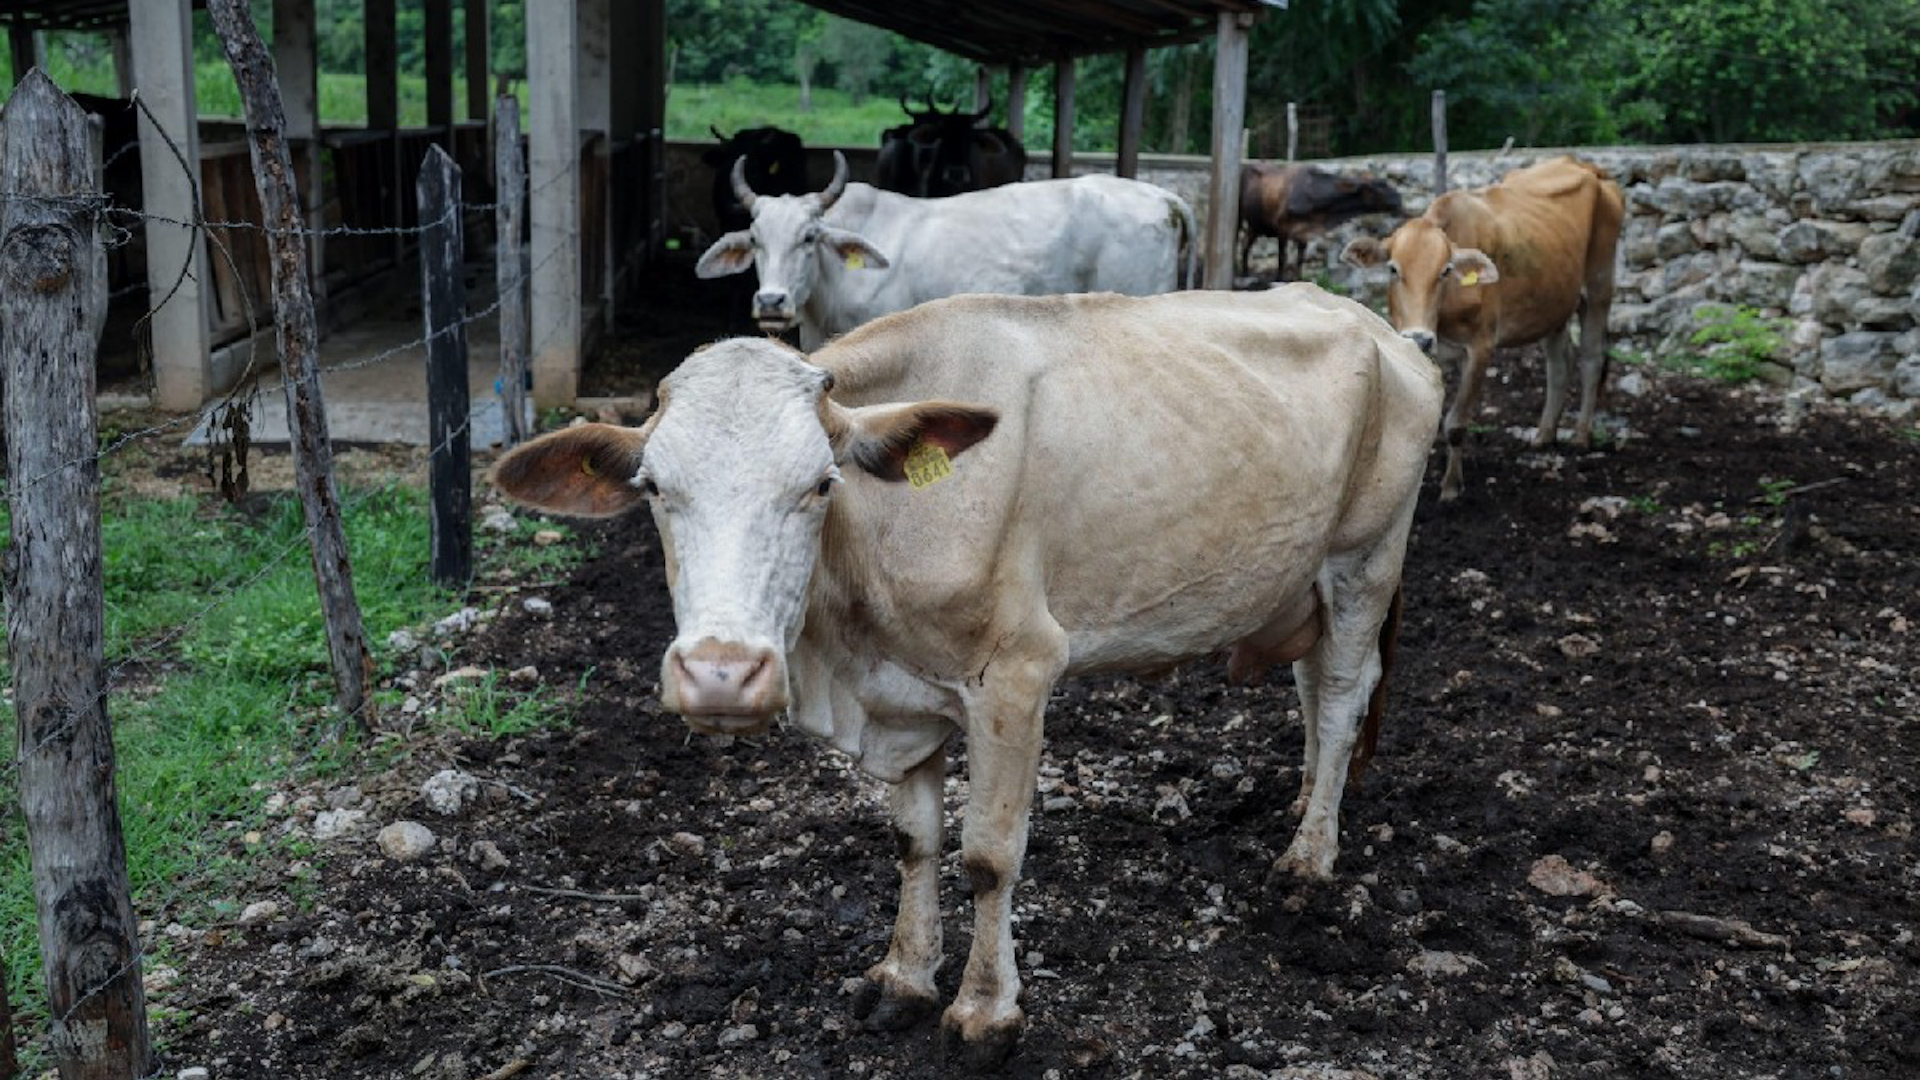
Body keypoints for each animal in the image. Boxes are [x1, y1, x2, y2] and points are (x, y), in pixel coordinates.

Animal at [489, 285, 1444, 1064]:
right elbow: (914, 842)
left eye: (821, 484)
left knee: (1344, 696)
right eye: (654, 487)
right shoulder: (899, 693)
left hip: (1365, 560)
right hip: (1300, 577)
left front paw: (985, 1013)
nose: (721, 676)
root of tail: (1379, 327)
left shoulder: (1019, 672)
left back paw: (1310, 855)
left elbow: (988, 854)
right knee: (1314, 691)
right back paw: (1305, 803)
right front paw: (904, 977)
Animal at [1239, 162, 1403, 281]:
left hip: (1255, 227)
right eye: (1377, 187)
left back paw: (1245, 273)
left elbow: (1300, 259)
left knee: (1245, 246)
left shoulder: (1304, 234)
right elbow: (1282, 257)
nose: (1399, 198)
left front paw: (1298, 279)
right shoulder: (1282, 229)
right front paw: (1279, 278)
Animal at [1341, 155, 1625, 502]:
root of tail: (1585, 166)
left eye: (1445, 271)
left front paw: (1451, 486)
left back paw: (1582, 435)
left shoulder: (1480, 347)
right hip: (1555, 303)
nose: (1420, 338)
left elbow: (1455, 424)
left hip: (1599, 287)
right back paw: (1544, 433)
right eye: (1393, 269)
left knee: (1592, 357)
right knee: (1560, 363)